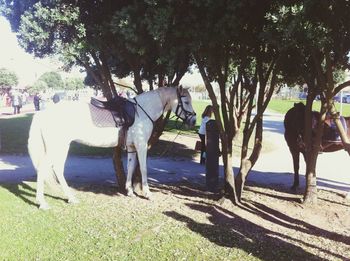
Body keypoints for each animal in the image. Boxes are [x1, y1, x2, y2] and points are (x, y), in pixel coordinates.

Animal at [28, 86, 197, 208]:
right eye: (186, 102)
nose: (194, 120)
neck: (141, 112)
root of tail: (44, 113)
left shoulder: (132, 147)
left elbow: (131, 167)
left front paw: (129, 191)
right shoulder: (141, 146)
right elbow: (143, 168)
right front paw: (147, 193)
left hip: (62, 147)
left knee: (57, 169)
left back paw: (70, 198)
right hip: (57, 147)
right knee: (44, 168)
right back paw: (43, 203)